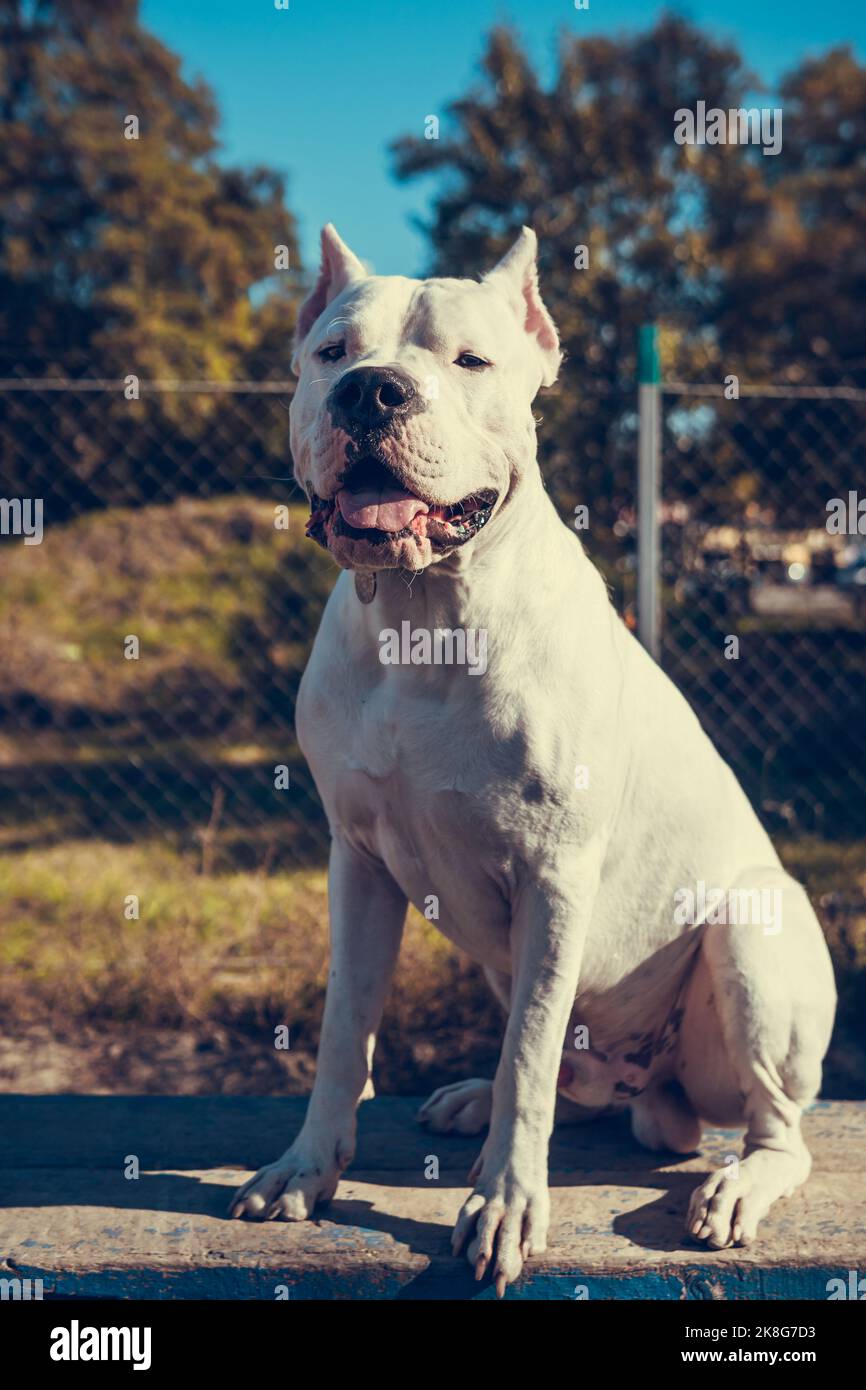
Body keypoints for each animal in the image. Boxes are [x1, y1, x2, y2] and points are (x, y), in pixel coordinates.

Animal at [229, 222, 834, 1295]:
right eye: (333, 354)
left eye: (470, 361)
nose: (373, 392)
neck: (426, 616)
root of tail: (662, 1093)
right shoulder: (358, 865)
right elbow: (345, 1033)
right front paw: (307, 1169)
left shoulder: (554, 881)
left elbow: (531, 1058)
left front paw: (505, 1204)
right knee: (575, 1081)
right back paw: (474, 1099)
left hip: (751, 936)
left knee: (774, 1128)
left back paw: (732, 1187)